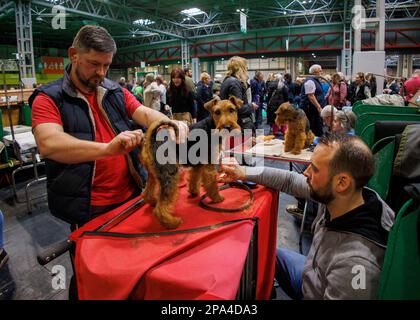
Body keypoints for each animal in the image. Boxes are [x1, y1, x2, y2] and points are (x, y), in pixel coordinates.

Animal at [140, 96, 243, 229]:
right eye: (217, 112)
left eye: (232, 109)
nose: (227, 127)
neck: (212, 126)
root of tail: (151, 139)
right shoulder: (209, 166)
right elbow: (212, 184)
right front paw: (217, 198)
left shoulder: (198, 165)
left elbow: (194, 179)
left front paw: (194, 192)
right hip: (169, 174)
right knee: (160, 207)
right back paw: (172, 222)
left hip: (153, 174)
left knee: (147, 192)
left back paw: (152, 201)